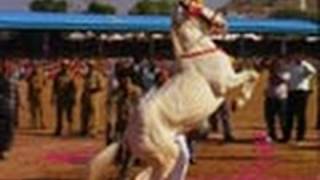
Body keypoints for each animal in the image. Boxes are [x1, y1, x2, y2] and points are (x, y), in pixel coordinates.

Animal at [89, 0, 258, 179]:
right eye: (197, 6)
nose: (223, 21)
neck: (199, 53)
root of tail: (128, 134)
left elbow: (253, 74)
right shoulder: (226, 83)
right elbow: (252, 74)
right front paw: (238, 102)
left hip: (161, 157)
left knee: (142, 175)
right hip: (165, 159)